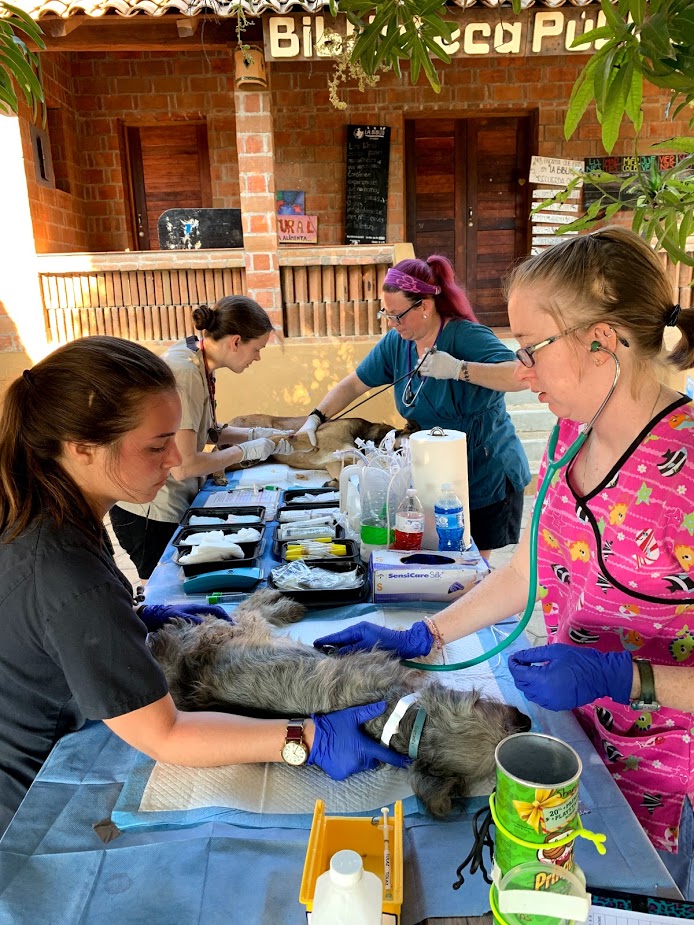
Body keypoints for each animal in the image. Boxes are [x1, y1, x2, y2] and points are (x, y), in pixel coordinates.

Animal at [150, 592, 532, 816]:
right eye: (489, 706)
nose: (527, 721)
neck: (400, 720)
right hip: (233, 630)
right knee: (245, 609)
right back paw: (278, 601)